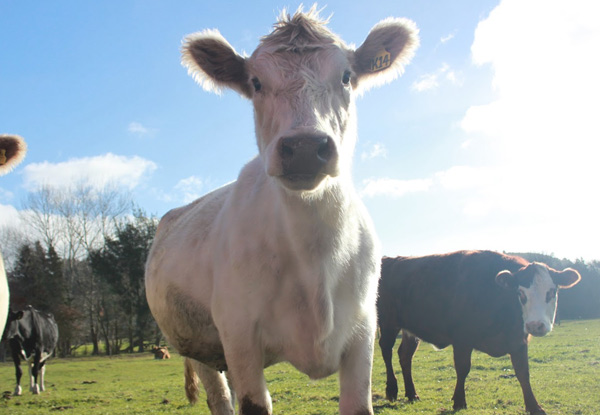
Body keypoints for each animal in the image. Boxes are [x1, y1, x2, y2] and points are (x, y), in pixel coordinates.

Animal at [145, 6, 418, 415]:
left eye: (346, 76)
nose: (304, 147)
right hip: (200, 344)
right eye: (256, 82)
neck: (314, 256)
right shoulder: (238, 332)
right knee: (219, 397)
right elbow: (254, 404)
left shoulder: (364, 329)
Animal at [380, 250, 580, 415]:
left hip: (409, 329)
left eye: (551, 292)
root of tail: (390, 259)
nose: (535, 325)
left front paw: (534, 406)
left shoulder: (518, 341)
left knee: (405, 355)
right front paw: (459, 401)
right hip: (388, 322)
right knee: (386, 350)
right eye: (521, 293)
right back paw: (392, 390)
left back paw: (412, 393)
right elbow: (462, 369)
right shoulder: (462, 339)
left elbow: (523, 372)